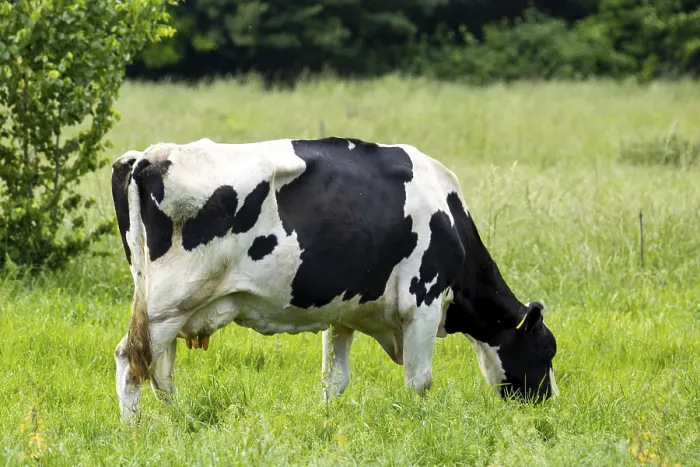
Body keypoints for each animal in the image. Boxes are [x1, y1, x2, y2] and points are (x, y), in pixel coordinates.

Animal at [111, 137, 558, 422]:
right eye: (547, 349)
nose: (549, 401)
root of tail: (148, 156)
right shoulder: (423, 301)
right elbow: (419, 381)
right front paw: (418, 423)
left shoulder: (344, 311)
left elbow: (334, 380)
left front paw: (324, 420)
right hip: (168, 304)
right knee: (132, 361)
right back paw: (134, 431)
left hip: (167, 308)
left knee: (161, 372)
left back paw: (180, 422)